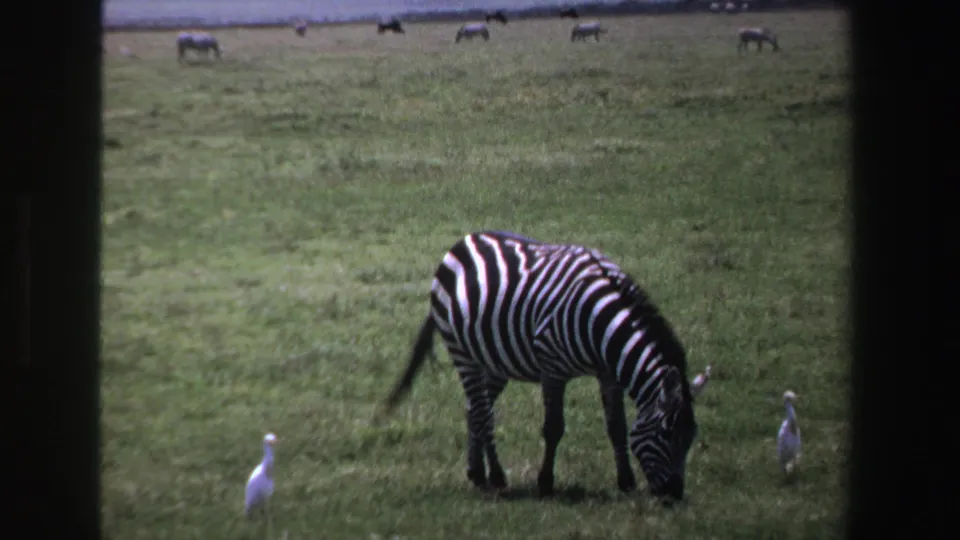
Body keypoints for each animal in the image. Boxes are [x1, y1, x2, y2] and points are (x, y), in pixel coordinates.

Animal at [384, 231, 699, 502]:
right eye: (667, 433)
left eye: (691, 437)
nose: (673, 496)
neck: (600, 325)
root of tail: (464, 241)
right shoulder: (552, 368)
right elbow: (554, 428)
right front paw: (545, 483)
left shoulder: (608, 374)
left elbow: (617, 427)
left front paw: (626, 482)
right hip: (463, 353)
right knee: (483, 414)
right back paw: (496, 477)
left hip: (494, 361)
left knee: (474, 408)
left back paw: (477, 474)